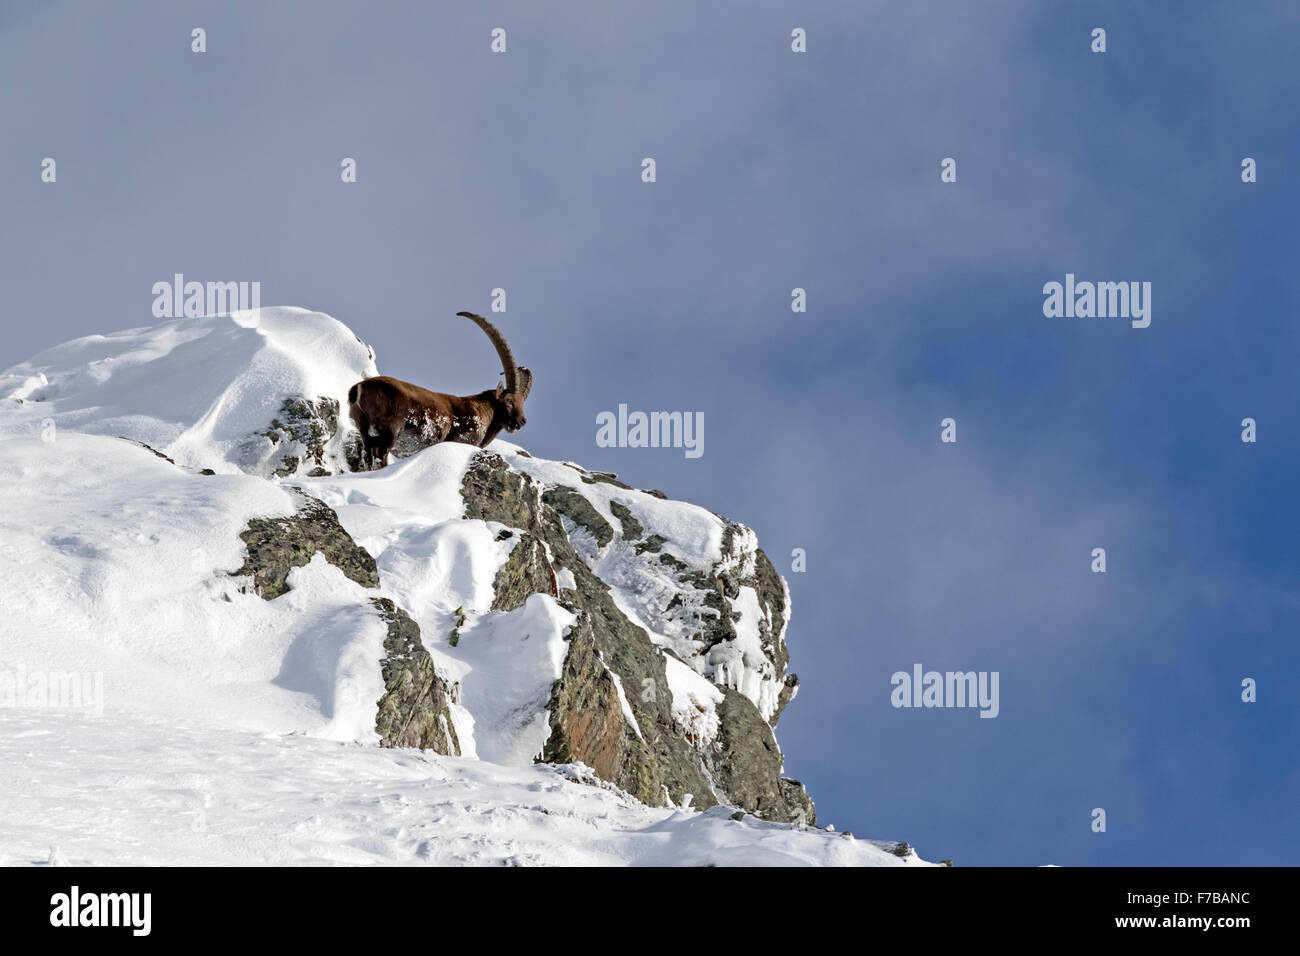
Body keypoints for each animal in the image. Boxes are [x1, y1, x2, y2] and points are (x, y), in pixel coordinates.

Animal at [347, 311, 532, 470]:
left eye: (523, 402)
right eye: (509, 400)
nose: (522, 421)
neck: (484, 411)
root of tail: (359, 388)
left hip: (365, 429)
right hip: (390, 429)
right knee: (381, 454)